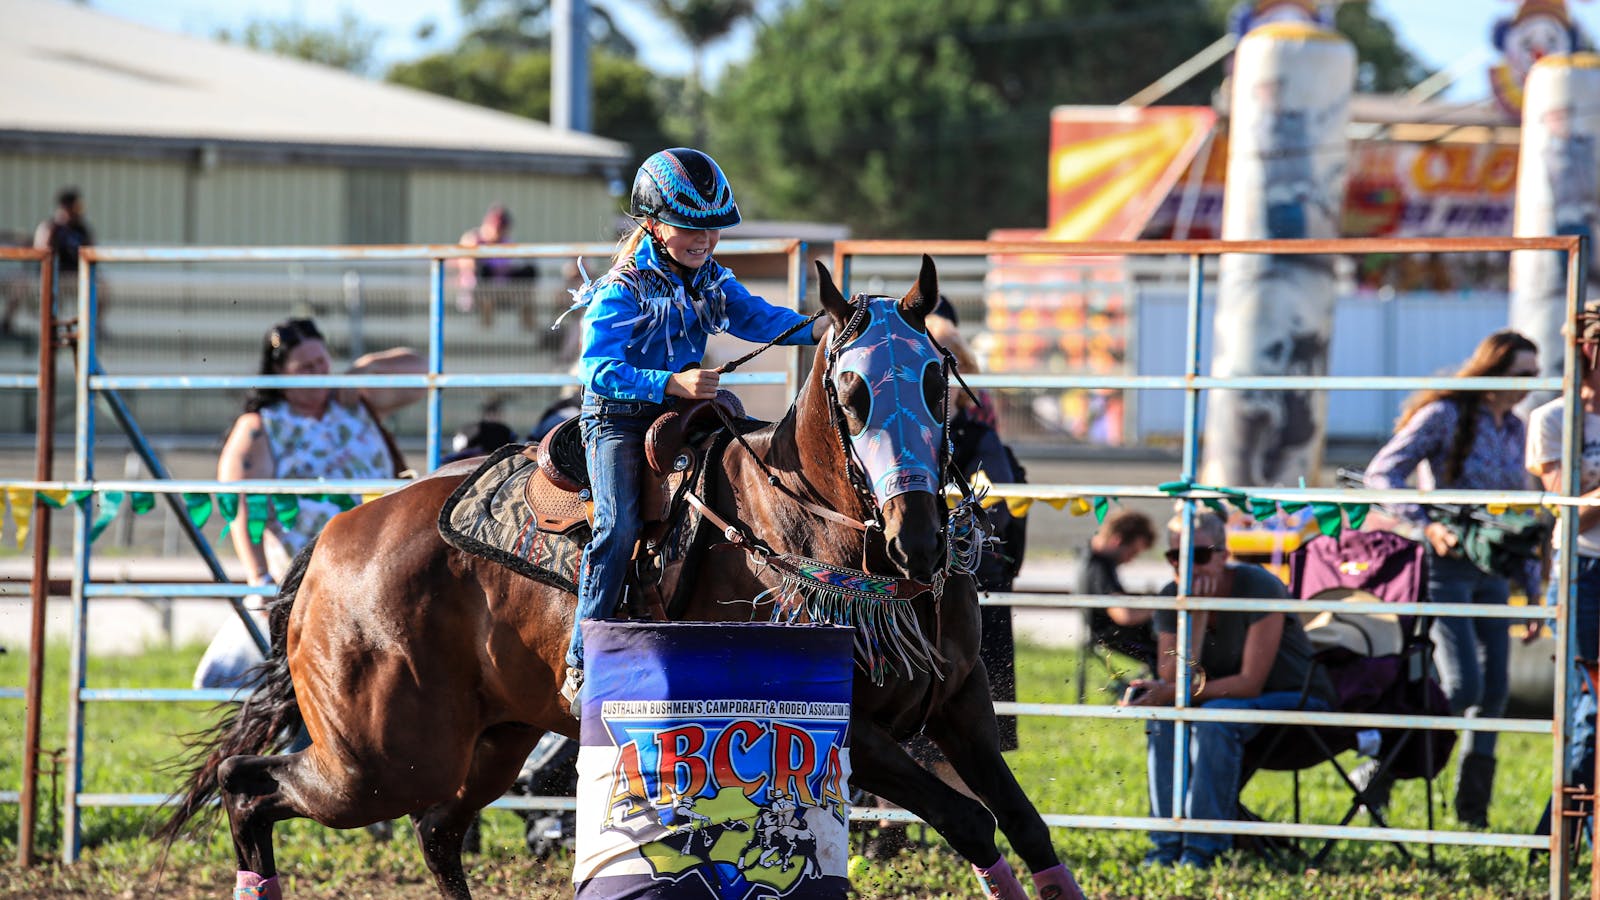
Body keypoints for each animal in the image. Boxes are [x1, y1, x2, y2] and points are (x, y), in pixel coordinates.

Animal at [159, 254, 1088, 896]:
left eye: (936, 379)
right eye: (852, 392)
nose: (918, 539)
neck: (818, 536)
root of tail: (334, 541)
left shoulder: (961, 703)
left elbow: (1025, 826)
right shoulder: (852, 725)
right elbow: (972, 820)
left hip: (489, 742)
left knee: (436, 831)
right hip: (380, 758)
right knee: (249, 788)